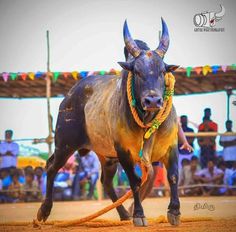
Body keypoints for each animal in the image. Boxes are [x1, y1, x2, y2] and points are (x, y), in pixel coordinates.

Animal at [37, 18, 183, 227]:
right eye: (137, 71)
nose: (153, 101)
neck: (147, 122)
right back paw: (44, 210)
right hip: (64, 145)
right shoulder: (124, 152)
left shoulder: (171, 147)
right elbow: (134, 182)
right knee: (51, 168)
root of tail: (69, 96)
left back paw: (123, 214)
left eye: (163, 71)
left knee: (105, 182)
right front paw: (139, 215)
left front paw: (174, 211)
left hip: (107, 157)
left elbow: (173, 176)